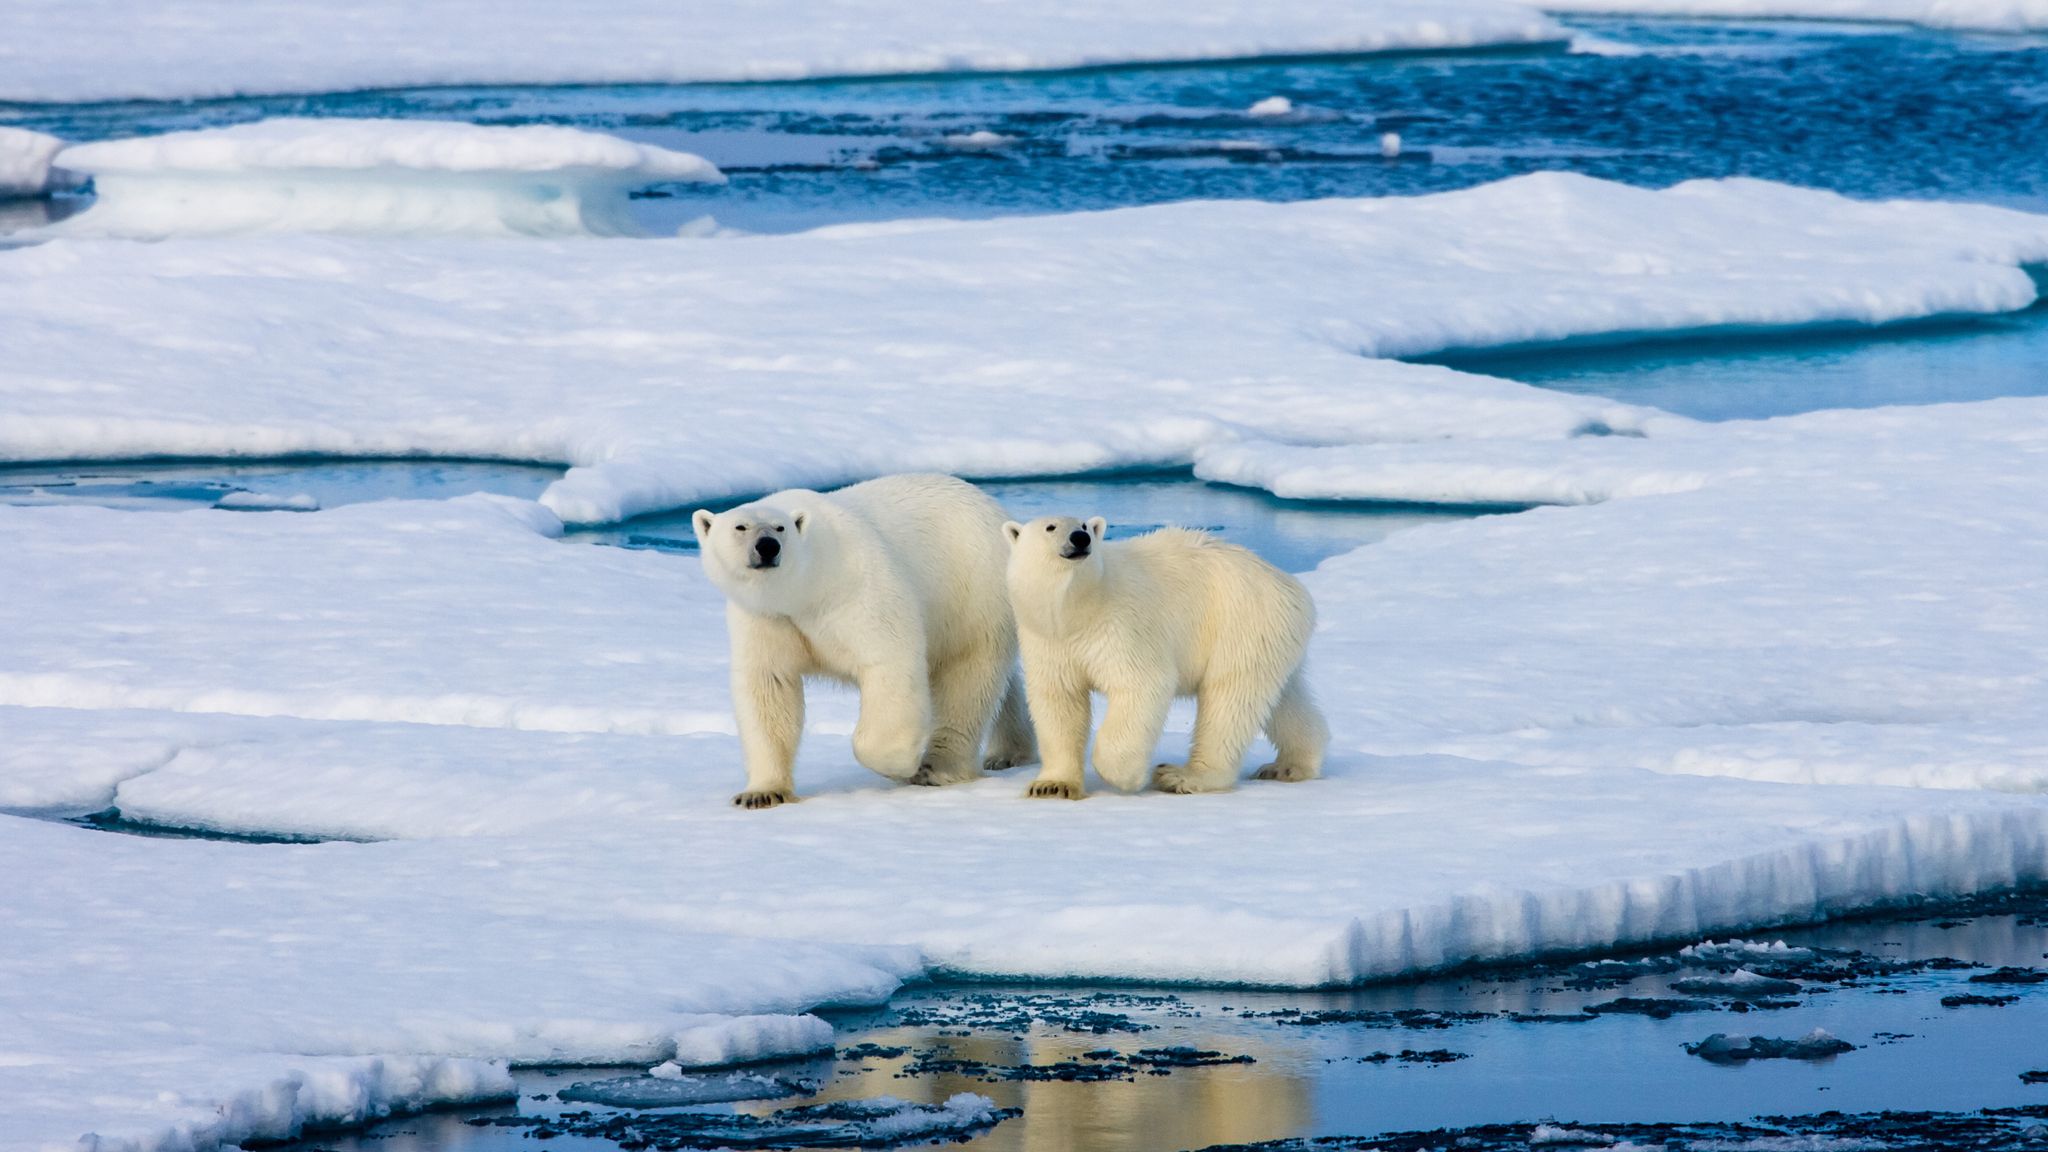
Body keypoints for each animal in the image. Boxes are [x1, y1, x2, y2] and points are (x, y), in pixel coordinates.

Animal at [696, 471, 1040, 803]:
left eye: (781, 528)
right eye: (740, 526)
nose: (767, 546)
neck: (807, 588)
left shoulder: (855, 588)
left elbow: (889, 660)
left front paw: (903, 765)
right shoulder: (767, 617)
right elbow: (769, 686)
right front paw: (761, 793)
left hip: (972, 593)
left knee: (966, 678)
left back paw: (937, 767)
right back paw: (1009, 752)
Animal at [1003, 516, 1327, 795]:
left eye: (1084, 525)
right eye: (1051, 527)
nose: (1080, 539)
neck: (1076, 610)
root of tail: (1291, 586)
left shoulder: (1121, 625)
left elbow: (1143, 684)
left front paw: (1128, 777)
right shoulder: (1049, 641)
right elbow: (1058, 701)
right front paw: (1051, 786)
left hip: (1241, 623)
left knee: (1228, 700)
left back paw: (1183, 776)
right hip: (1272, 637)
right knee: (1282, 699)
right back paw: (1290, 765)